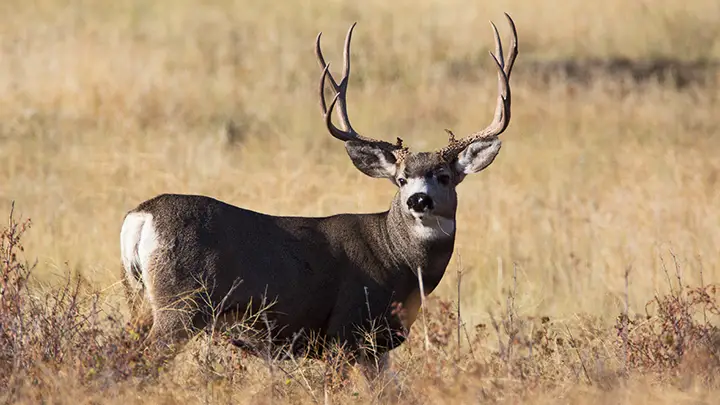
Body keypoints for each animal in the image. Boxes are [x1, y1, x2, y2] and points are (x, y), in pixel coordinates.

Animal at [122, 15, 516, 370]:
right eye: (401, 179)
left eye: (445, 176)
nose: (418, 200)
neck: (397, 259)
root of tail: (141, 216)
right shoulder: (347, 330)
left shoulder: (377, 348)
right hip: (179, 304)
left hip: (138, 299)